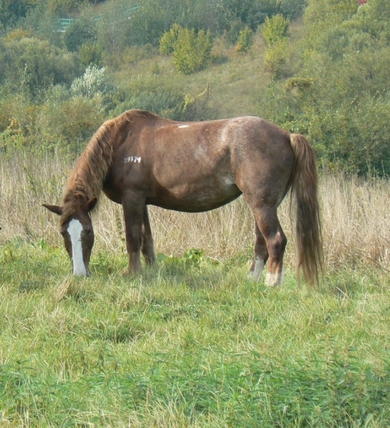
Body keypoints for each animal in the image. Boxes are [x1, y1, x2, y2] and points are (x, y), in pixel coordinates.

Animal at [43, 108, 322, 286]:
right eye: (63, 232)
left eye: (88, 231)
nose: (80, 274)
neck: (118, 144)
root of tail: (287, 135)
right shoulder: (142, 202)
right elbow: (147, 241)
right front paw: (151, 271)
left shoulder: (132, 199)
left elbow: (133, 238)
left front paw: (132, 273)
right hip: (262, 205)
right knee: (261, 243)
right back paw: (252, 279)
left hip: (262, 205)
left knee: (275, 240)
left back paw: (272, 283)